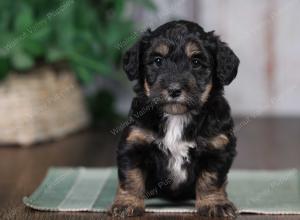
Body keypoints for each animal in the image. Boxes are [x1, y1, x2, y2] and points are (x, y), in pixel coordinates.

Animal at [109, 19, 239, 217]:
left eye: (196, 62)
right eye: (158, 61)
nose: (174, 89)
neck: (176, 116)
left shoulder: (217, 147)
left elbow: (211, 179)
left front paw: (215, 204)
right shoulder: (134, 143)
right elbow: (131, 177)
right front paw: (126, 204)